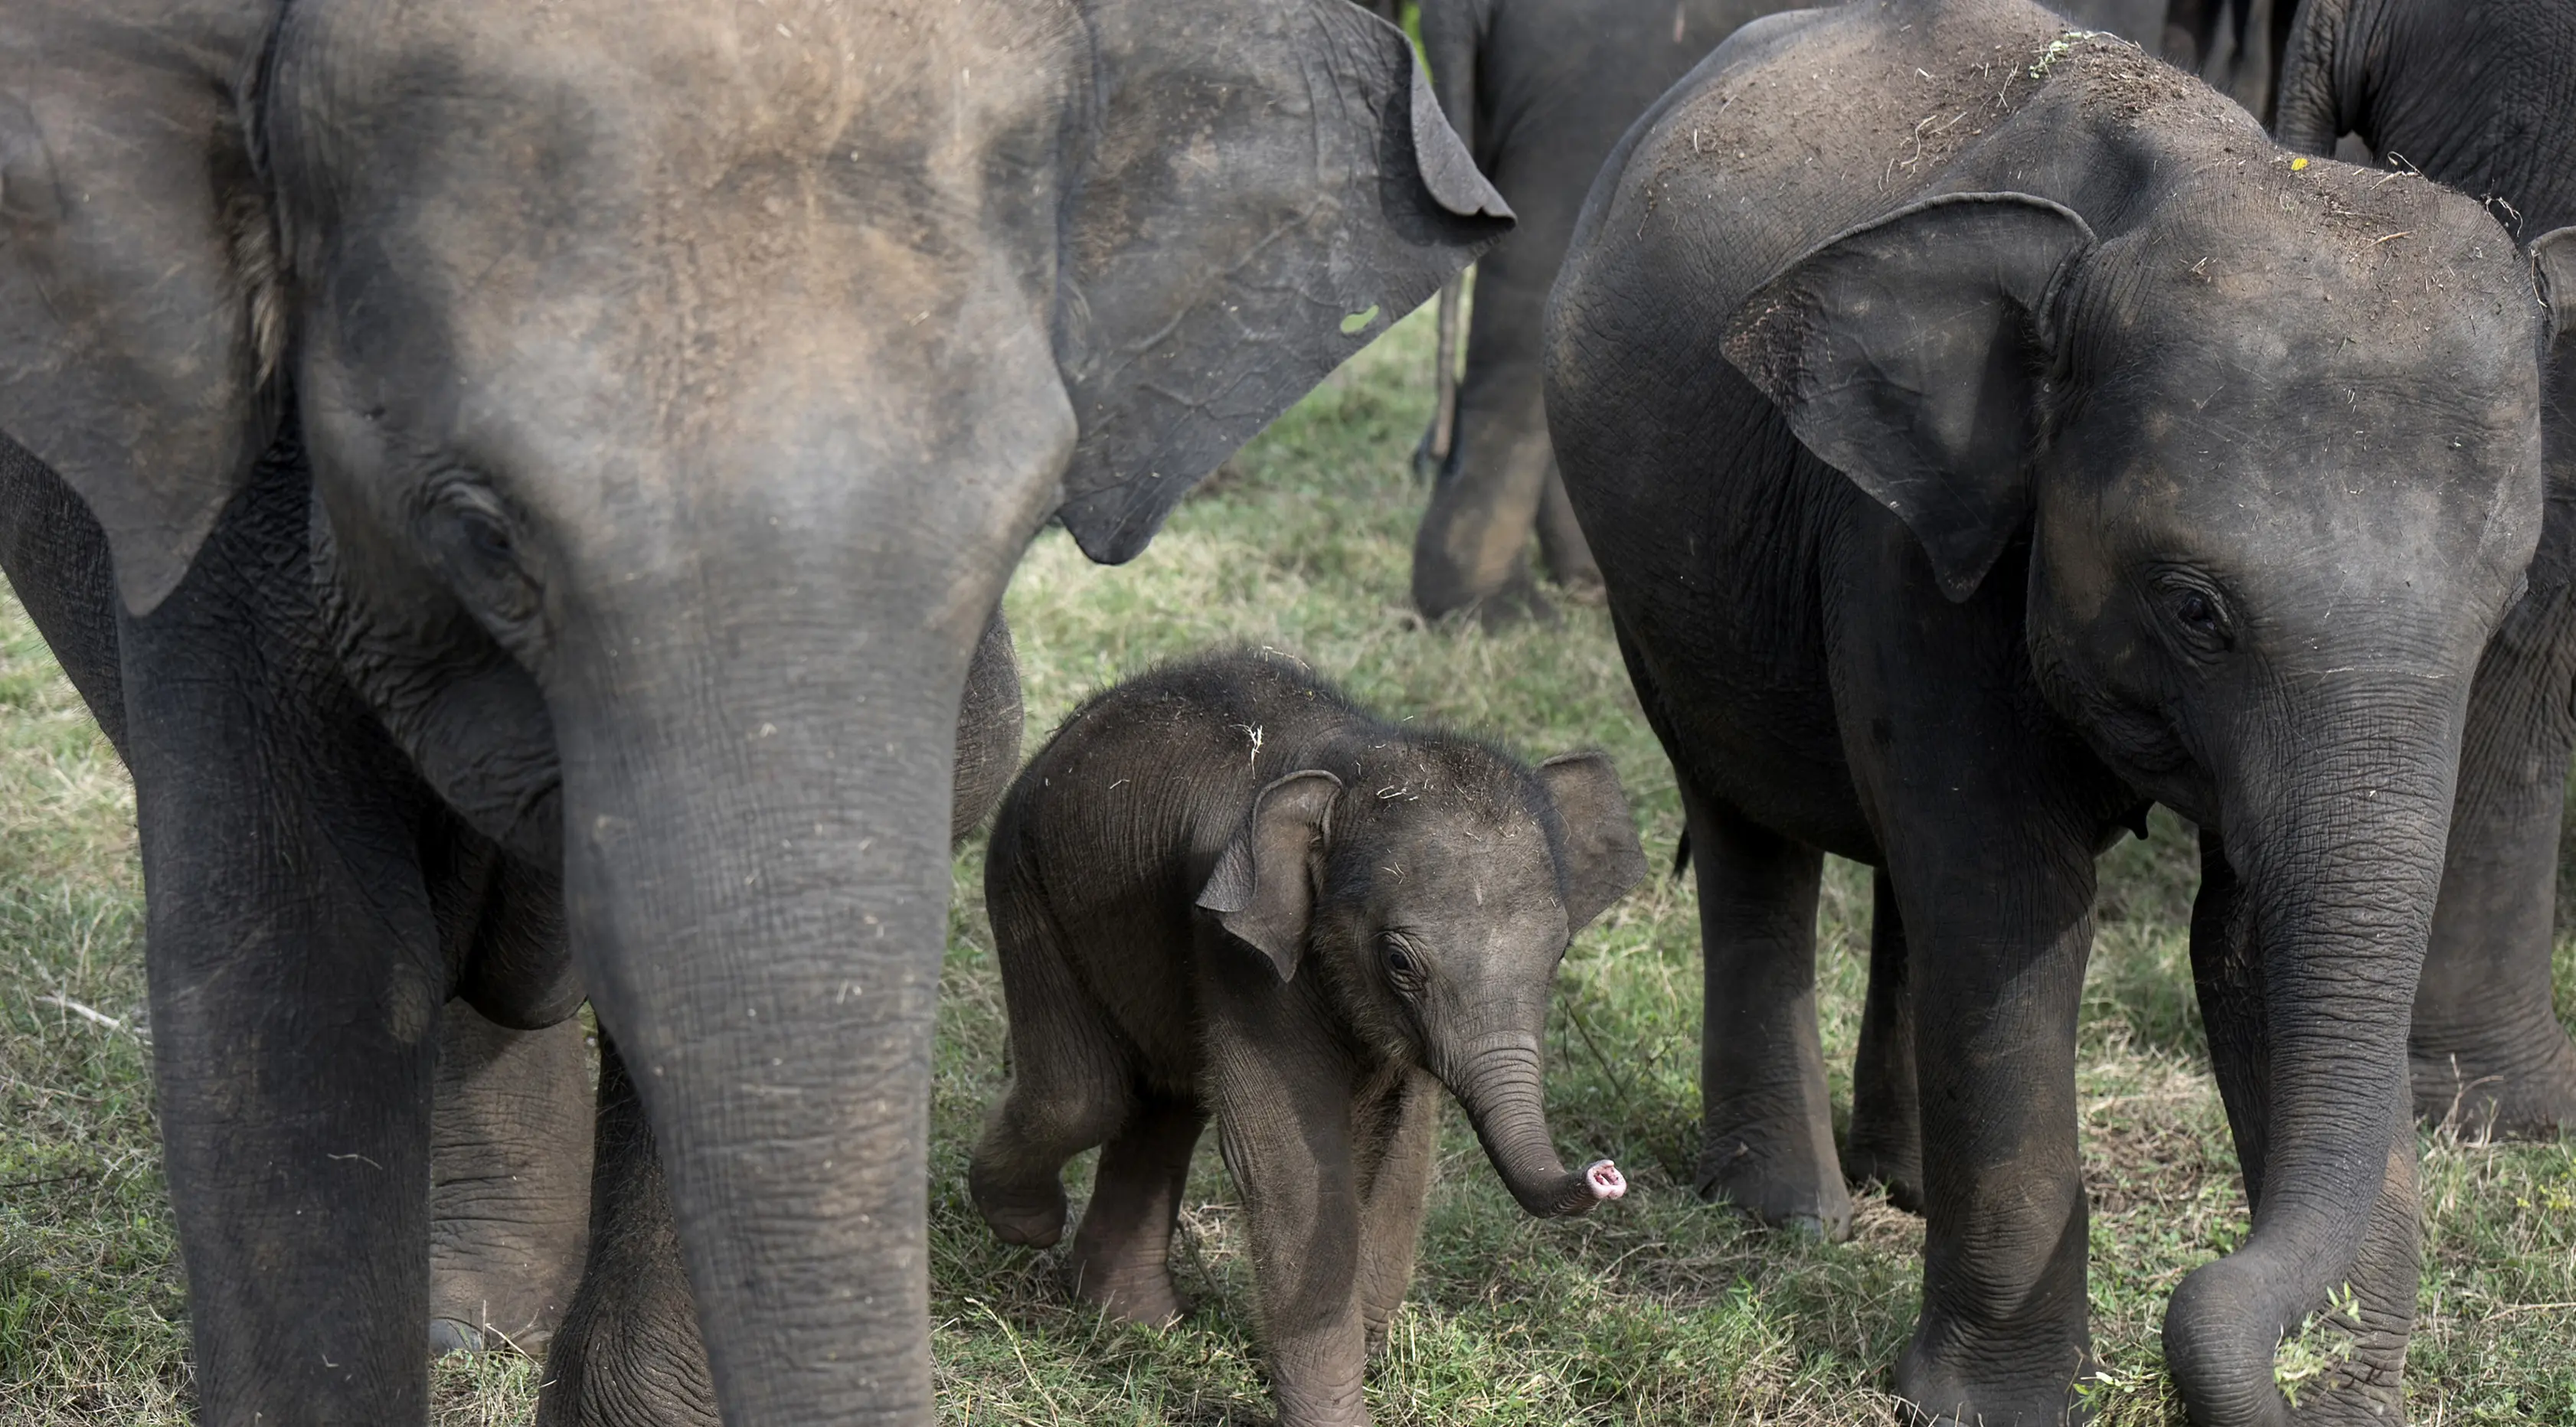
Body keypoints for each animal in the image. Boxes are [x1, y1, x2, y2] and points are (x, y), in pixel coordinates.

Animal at [968, 651, 1648, 1422]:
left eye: (1561, 950)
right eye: (1399, 961)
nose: (1606, 1173)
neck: (1355, 761)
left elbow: (1403, 1152)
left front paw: (1368, 1340)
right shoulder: (1241, 949)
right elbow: (1288, 1167)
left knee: (1162, 1100)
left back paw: (1135, 1322)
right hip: (1023, 878)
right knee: (1084, 1095)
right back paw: (1027, 1225)